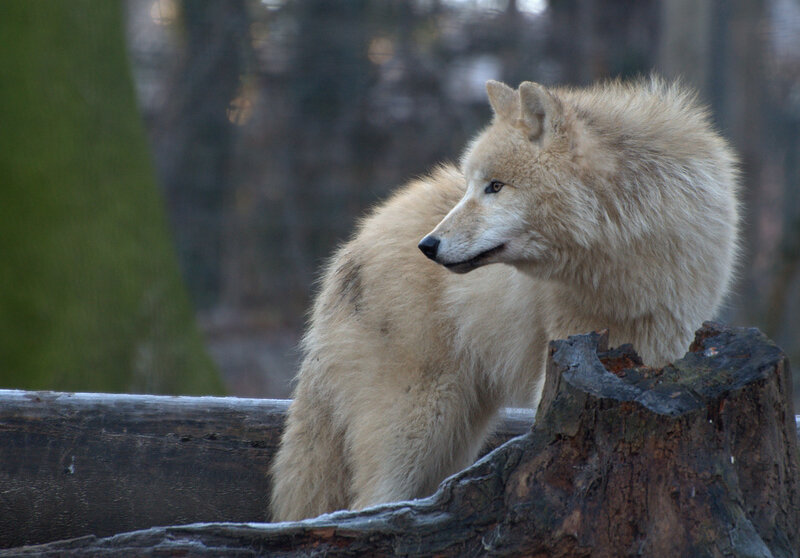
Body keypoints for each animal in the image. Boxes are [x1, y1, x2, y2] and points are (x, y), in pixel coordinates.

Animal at [270, 78, 740, 521]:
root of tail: (352, 247)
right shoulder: (564, 349)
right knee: (370, 505)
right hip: (417, 423)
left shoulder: (667, 342)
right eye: (472, 186)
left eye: (495, 186)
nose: (428, 246)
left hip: (455, 434)